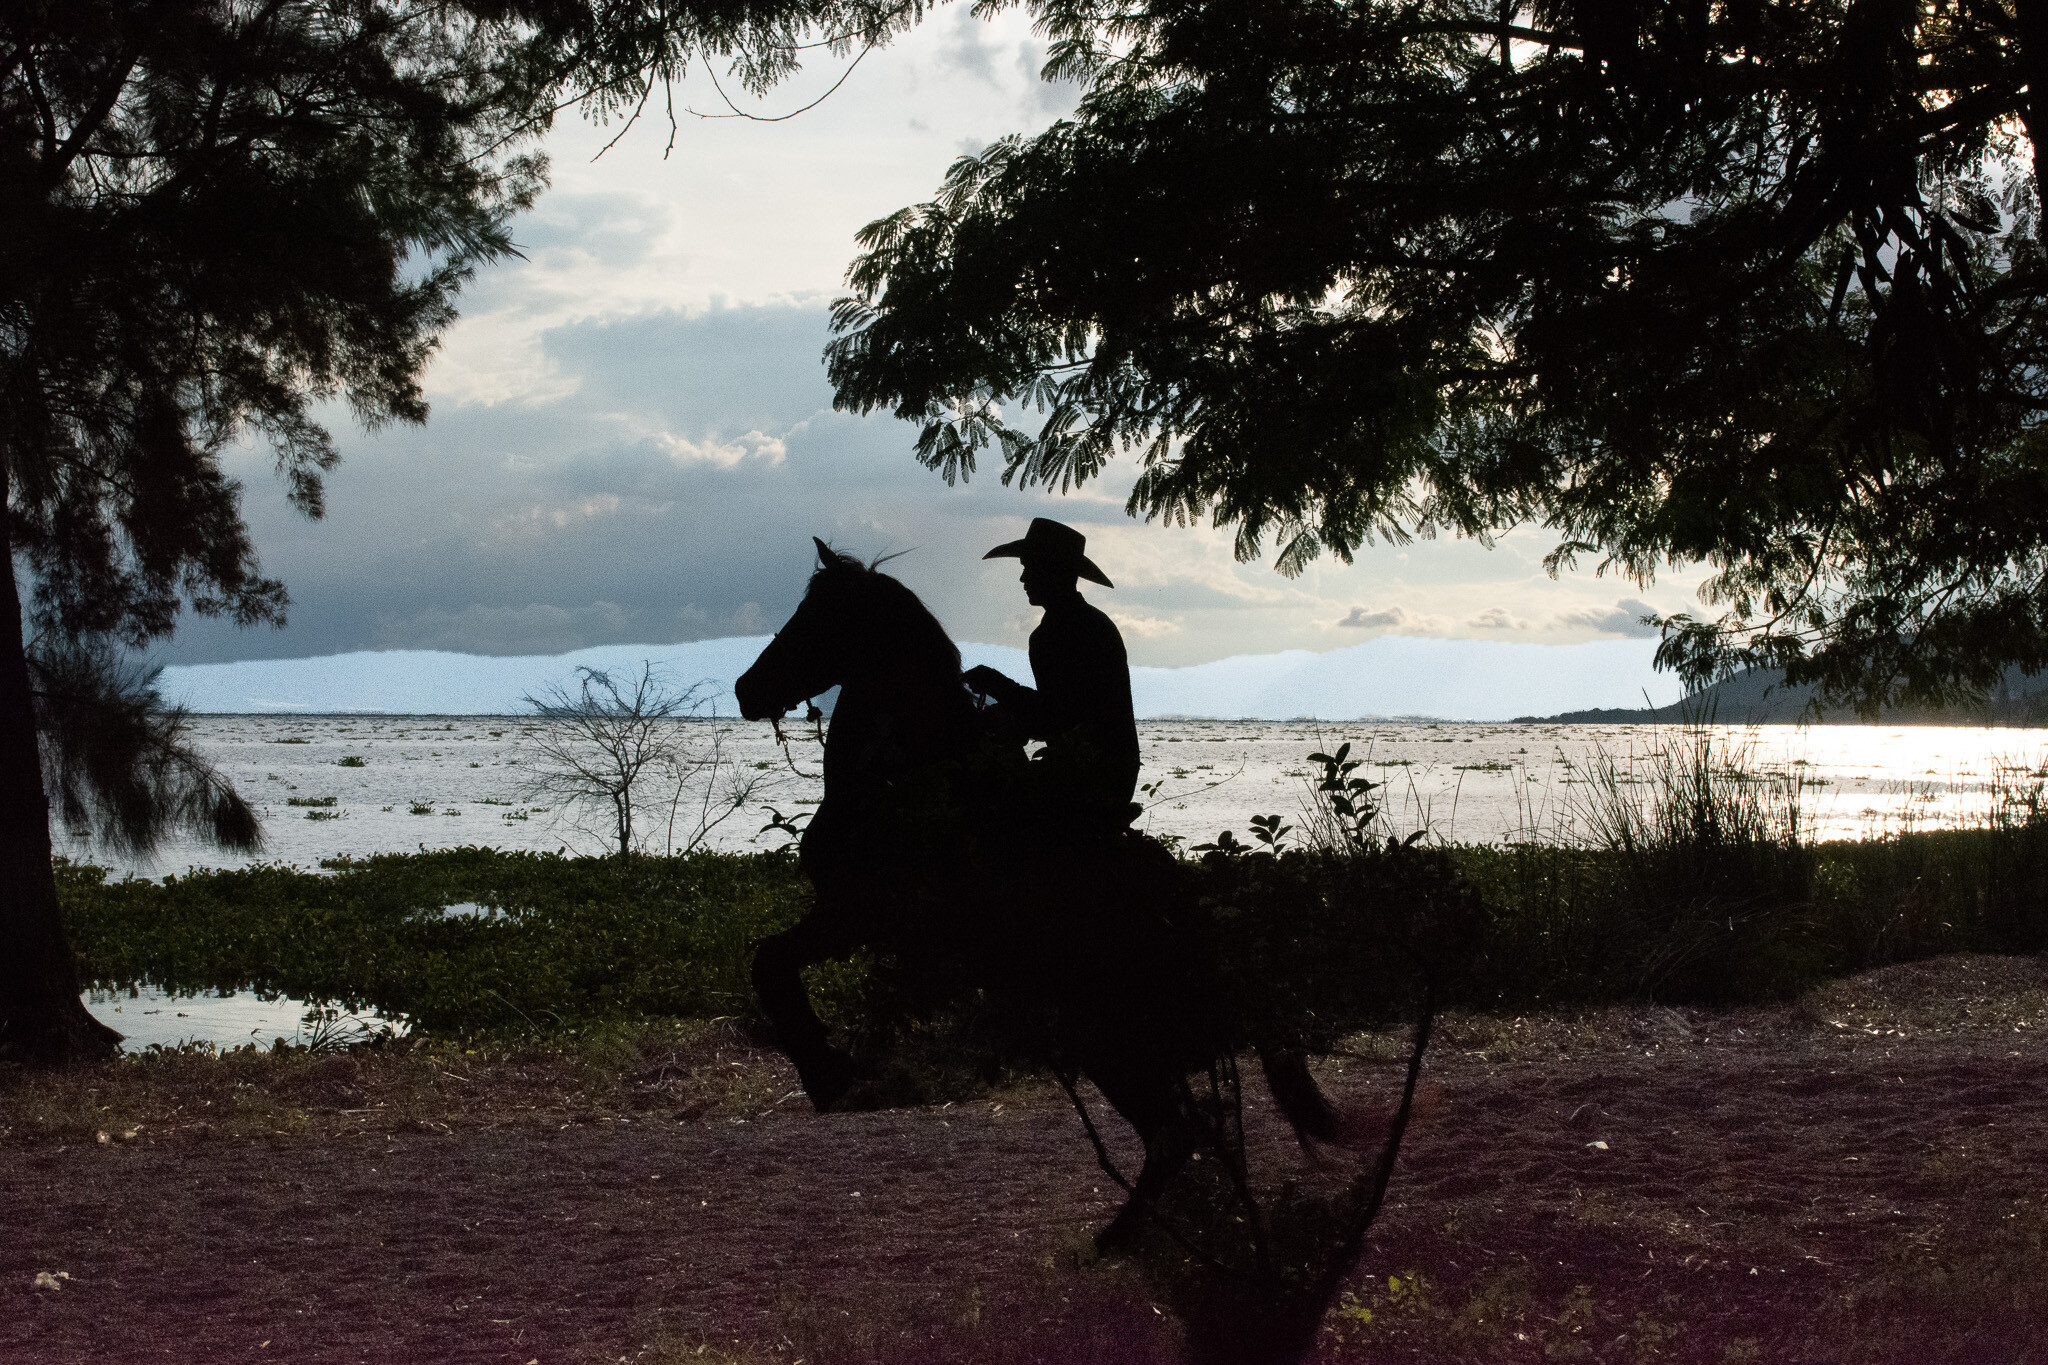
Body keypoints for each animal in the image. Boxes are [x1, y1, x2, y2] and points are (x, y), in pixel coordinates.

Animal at [734, 539, 1352, 1248]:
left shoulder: (861, 914)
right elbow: (771, 963)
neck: (911, 778)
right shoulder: (849, 917)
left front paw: (828, 1074)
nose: (746, 689)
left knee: (1175, 1131)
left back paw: (1117, 1241)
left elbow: (770, 962)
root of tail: (1196, 915)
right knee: (1185, 1127)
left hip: (1111, 1035)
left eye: (820, 618)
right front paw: (828, 1070)